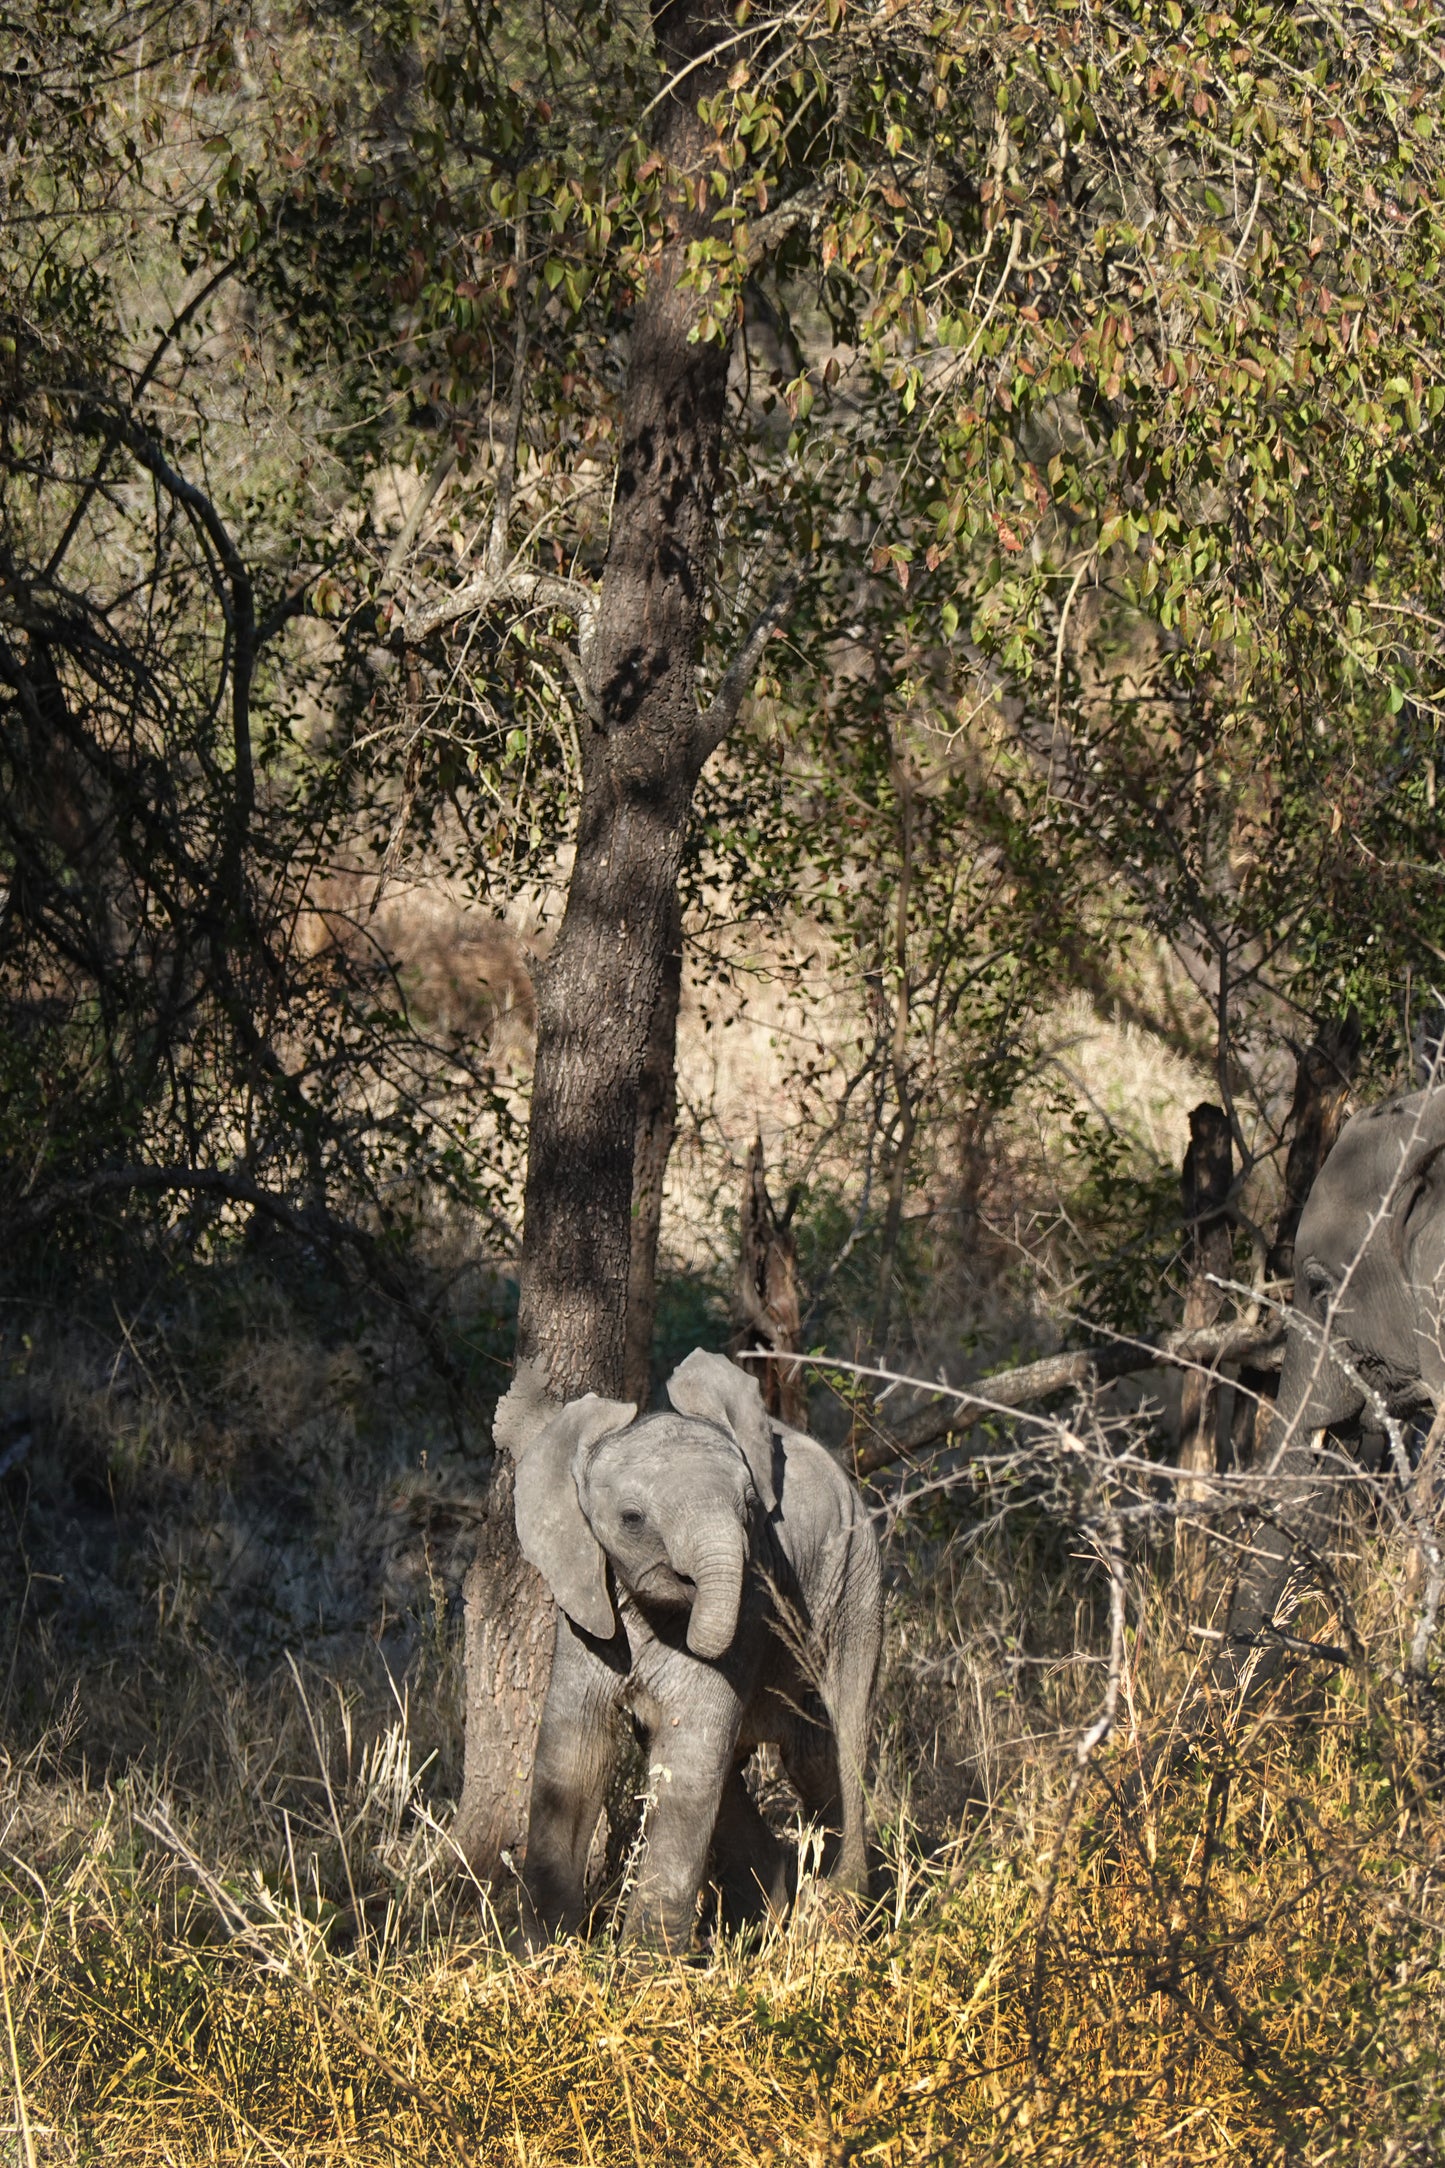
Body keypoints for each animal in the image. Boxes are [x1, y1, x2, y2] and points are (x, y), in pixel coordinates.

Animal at [493, 1344, 883, 1959]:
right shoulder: (583, 1607)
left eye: (750, 1506)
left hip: (855, 1587)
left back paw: (835, 1930)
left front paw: (645, 1971)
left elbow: (690, 1755)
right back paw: (763, 1923)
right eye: (631, 1520)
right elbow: (573, 1751)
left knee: (829, 1747)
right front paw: (541, 1957)